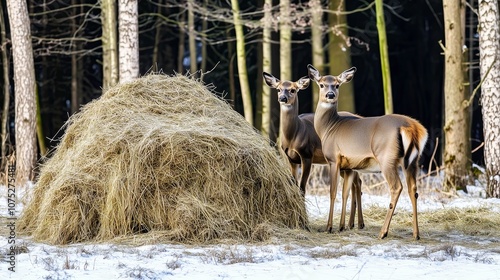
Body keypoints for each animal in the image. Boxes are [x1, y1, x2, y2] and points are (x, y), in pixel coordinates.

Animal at [264, 71, 366, 231]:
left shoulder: (307, 155)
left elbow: (302, 188)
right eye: (278, 89)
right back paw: (352, 224)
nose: (283, 98)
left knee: (357, 183)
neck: (294, 135)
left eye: (293, 90)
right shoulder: (292, 159)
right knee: (357, 183)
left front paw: (305, 223)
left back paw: (359, 223)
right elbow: (295, 185)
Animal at [306, 64, 428, 240]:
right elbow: (345, 193)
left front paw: (329, 227)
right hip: (412, 161)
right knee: (413, 189)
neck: (328, 128)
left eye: (337, 85)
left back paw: (383, 232)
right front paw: (342, 226)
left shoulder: (333, 159)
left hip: (387, 158)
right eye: (322, 84)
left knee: (397, 187)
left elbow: (333, 192)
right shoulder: (349, 166)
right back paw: (416, 234)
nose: (330, 95)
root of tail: (411, 128)